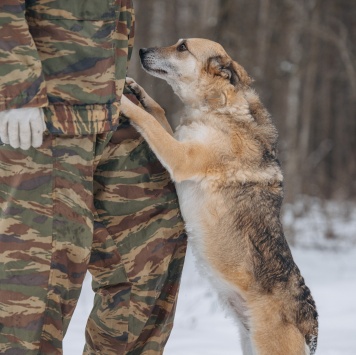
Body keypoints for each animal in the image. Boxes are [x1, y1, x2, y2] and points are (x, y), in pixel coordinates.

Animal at [121, 39, 318, 355]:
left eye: (182, 47)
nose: (141, 51)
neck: (217, 109)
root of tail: (309, 326)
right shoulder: (180, 141)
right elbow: (158, 111)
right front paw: (137, 91)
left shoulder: (180, 158)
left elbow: (147, 120)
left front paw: (122, 101)